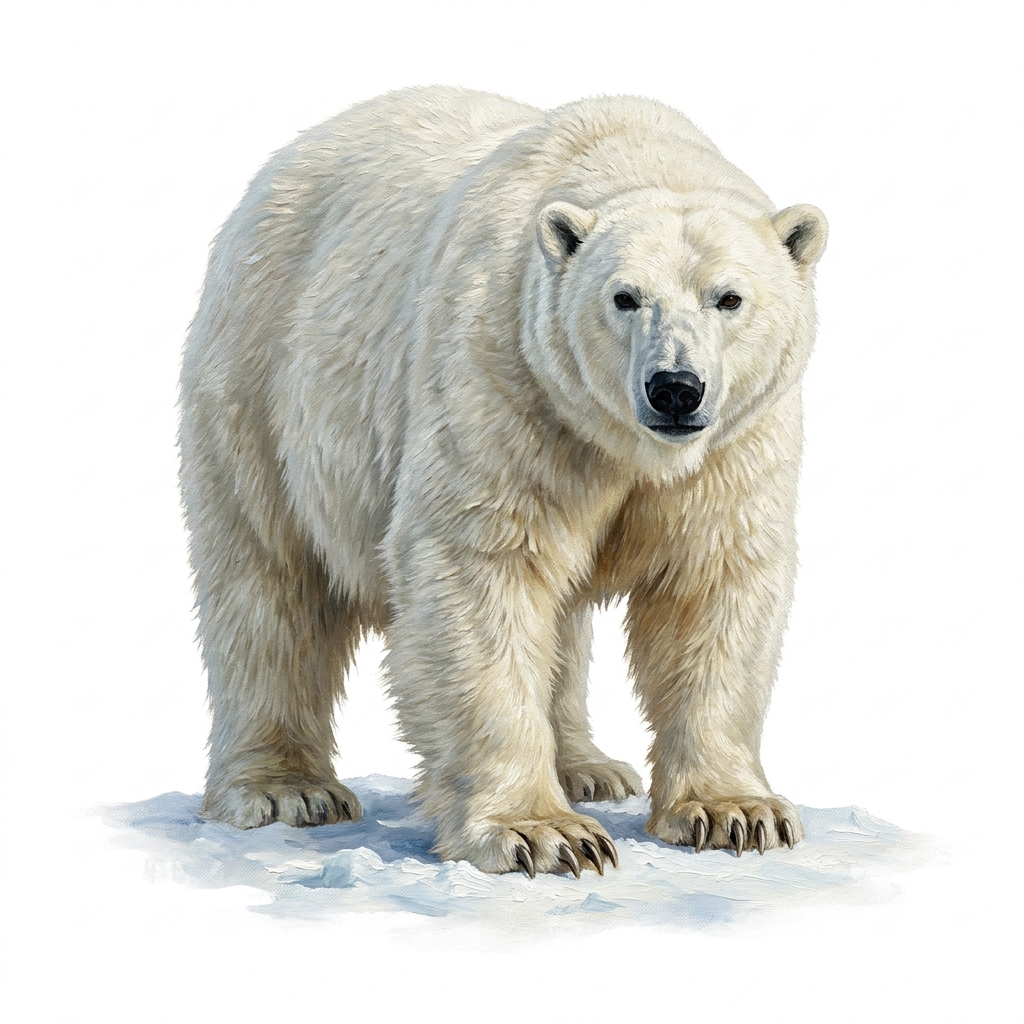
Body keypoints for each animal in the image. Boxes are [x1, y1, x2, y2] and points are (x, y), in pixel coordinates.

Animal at [179, 86, 827, 876]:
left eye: (728, 297)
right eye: (624, 297)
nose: (675, 388)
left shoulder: (734, 445)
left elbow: (713, 583)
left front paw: (736, 812)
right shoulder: (505, 379)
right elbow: (482, 568)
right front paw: (542, 834)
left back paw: (588, 767)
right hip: (265, 377)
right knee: (269, 578)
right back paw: (283, 788)